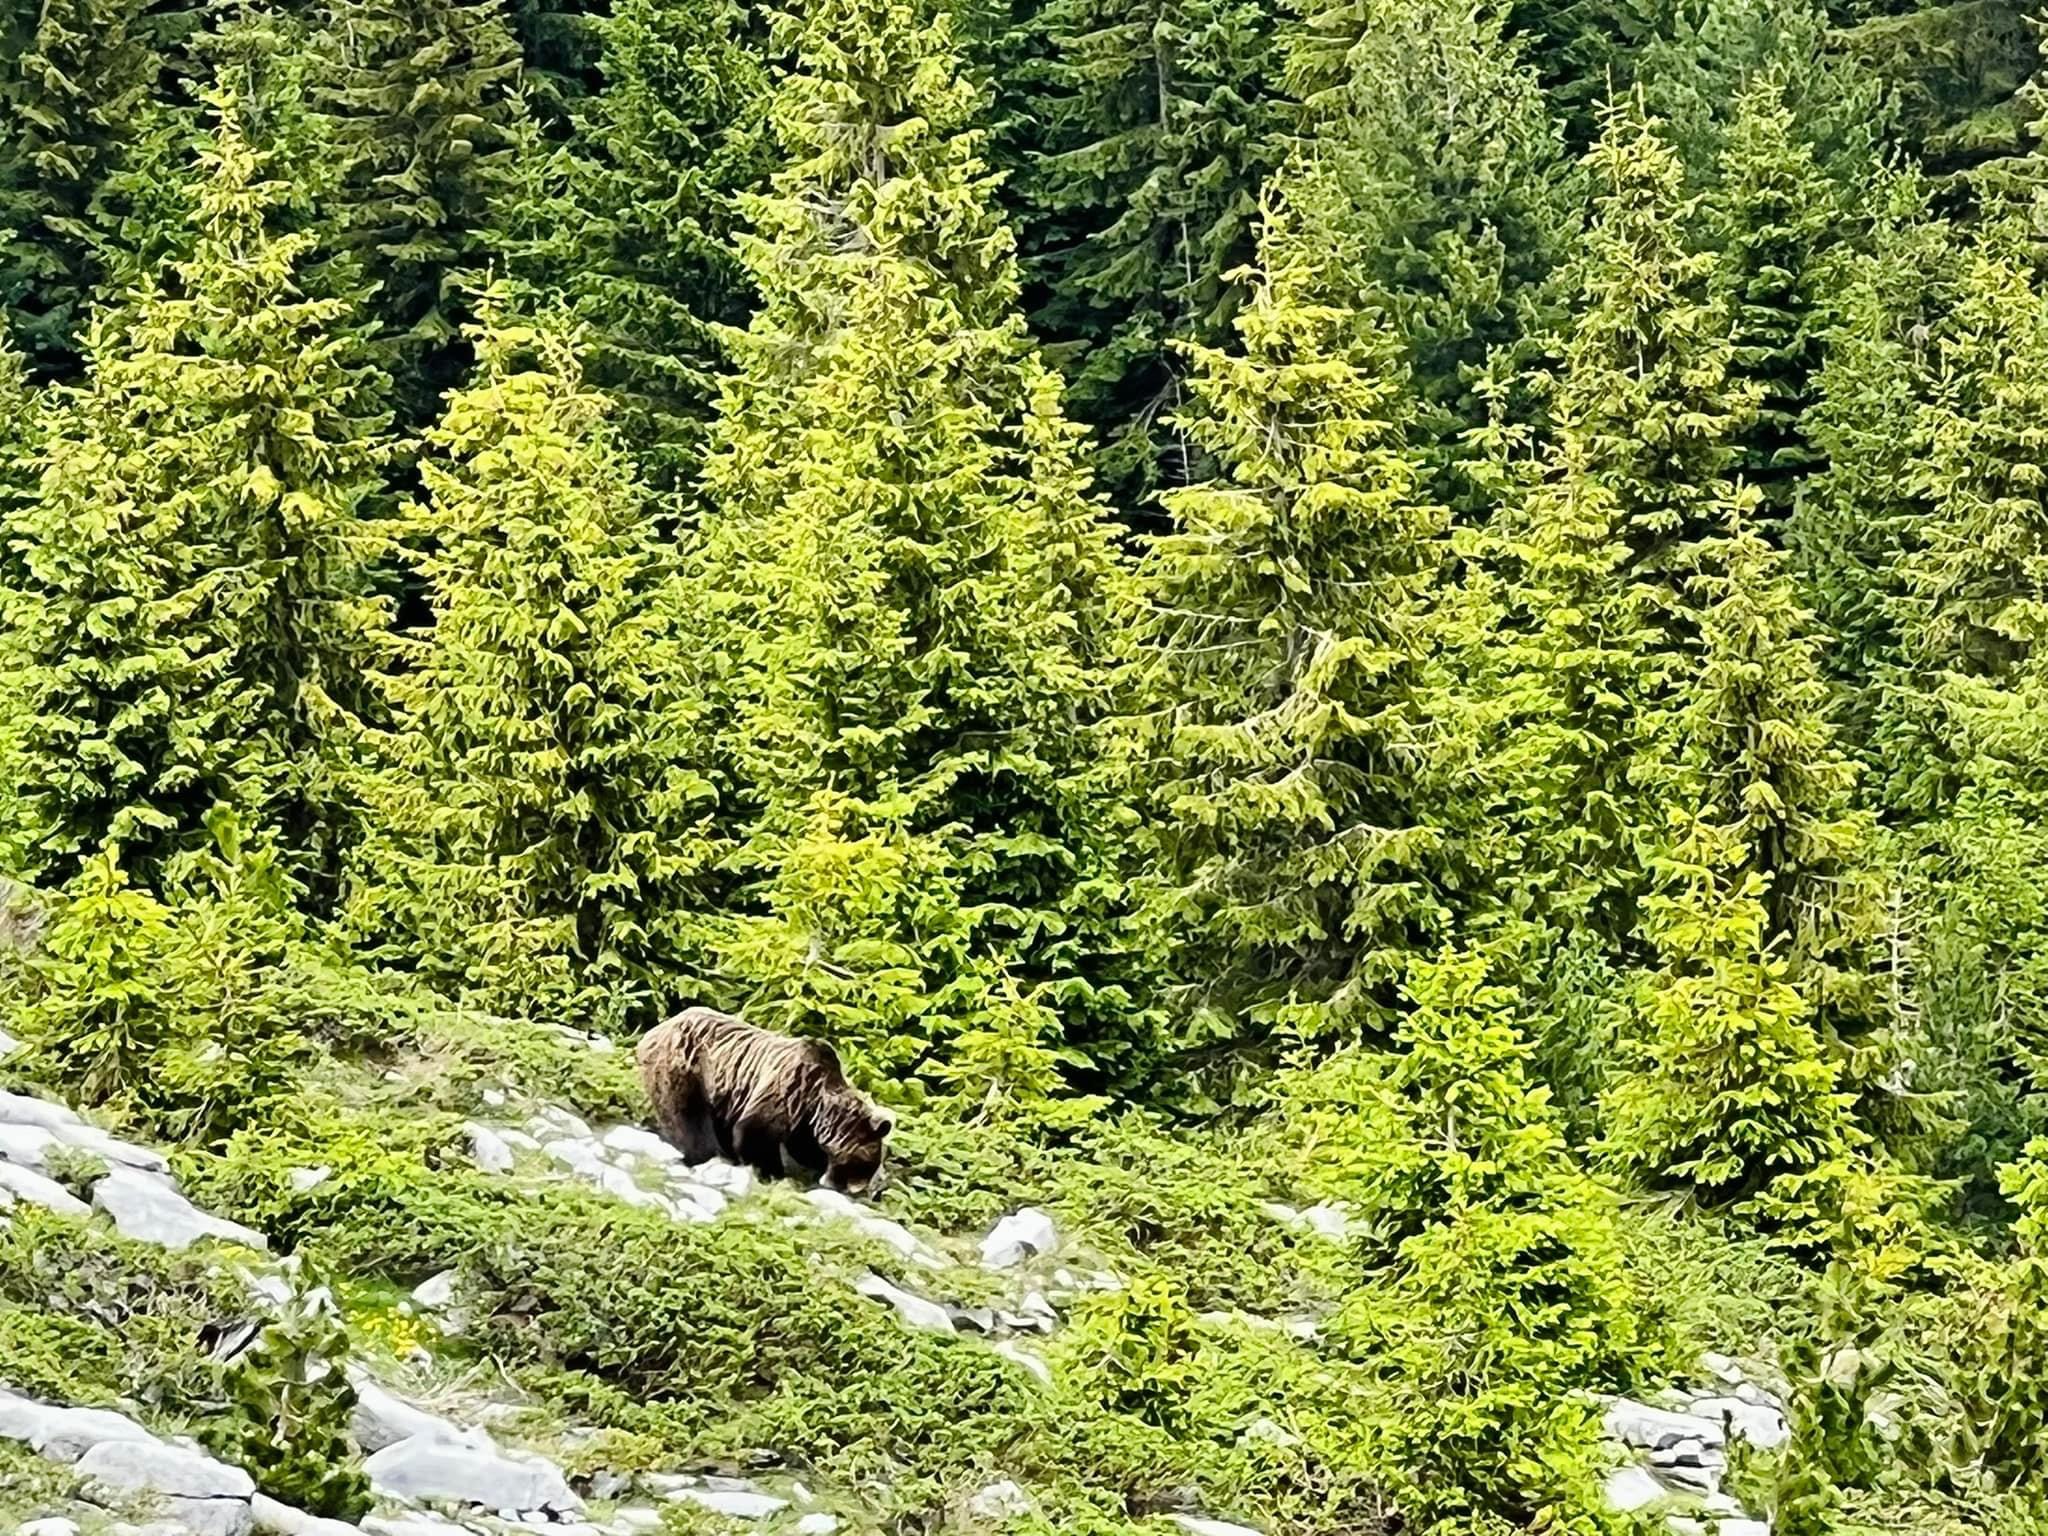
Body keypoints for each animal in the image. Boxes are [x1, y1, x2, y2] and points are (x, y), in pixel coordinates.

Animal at [634, 1011, 892, 1204]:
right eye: (869, 1160)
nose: (860, 1188)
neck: (818, 1101)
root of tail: (654, 1030)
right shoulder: (790, 1088)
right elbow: (756, 1132)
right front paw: (772, 1173)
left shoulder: (805, 1119)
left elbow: (803, 1147)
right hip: (688, 1068)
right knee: (688, 1117)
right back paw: (703, 1154)